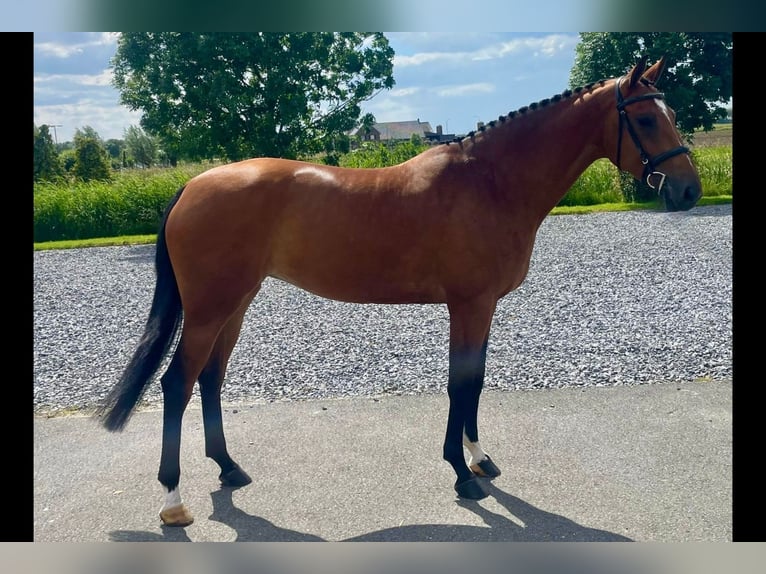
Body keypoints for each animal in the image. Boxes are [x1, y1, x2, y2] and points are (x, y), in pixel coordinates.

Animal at [94, 56, 704, 528]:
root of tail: (192, 185)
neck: (490, 181)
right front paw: (462, 475)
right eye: (645, 118)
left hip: (235, 305)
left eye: (672, 115)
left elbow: (475, 382)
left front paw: (479, 459)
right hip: (209, 309)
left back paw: (229, 468)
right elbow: (461, 384)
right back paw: (174, 501)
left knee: (210, 380)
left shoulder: (483, 307)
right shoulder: (469, 304)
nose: (689, 190)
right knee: (177, 384)